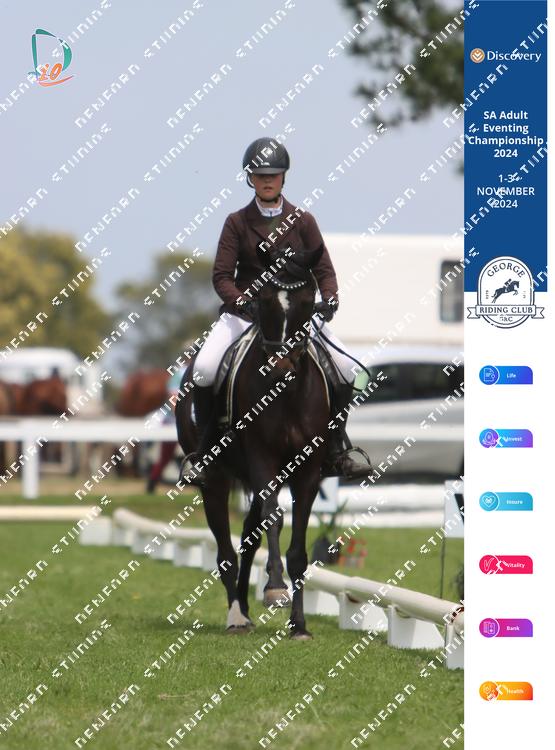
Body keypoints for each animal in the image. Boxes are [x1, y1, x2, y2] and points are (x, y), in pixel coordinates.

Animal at [175, 243, 330, 639]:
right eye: (263, 299)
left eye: (309, 301)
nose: (281, 366)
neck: (287, 394)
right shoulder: (263, 459)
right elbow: (274, 518)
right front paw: (274, 589)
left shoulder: (308, 470)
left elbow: (297, 549)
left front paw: (299, 625)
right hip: (215, 479)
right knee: (226, 551)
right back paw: (236, 616)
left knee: (249, 537)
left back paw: (245, 606)